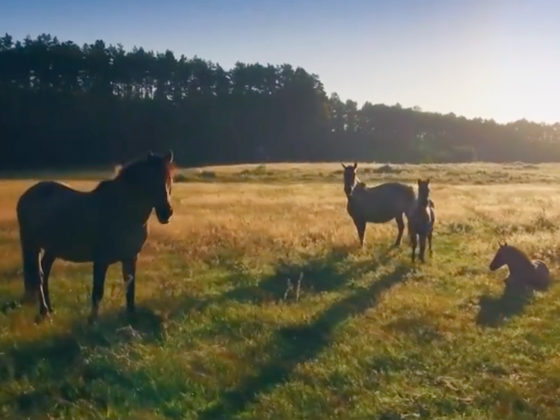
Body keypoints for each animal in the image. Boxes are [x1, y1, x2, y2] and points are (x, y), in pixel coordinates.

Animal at [17, 151, 175, 322]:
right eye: (150, 180)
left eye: (169, 179)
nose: (167, 213)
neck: (123, 211)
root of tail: (27, 195)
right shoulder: (101, 260)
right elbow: (98, 292)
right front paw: (92, 320)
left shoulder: (130, 258)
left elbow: (130, 289)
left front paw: (130, 317)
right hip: (32, 245)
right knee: (38, 276)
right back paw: (44, 311)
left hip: (52, 248)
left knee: (44, 273)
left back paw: (49, 309)